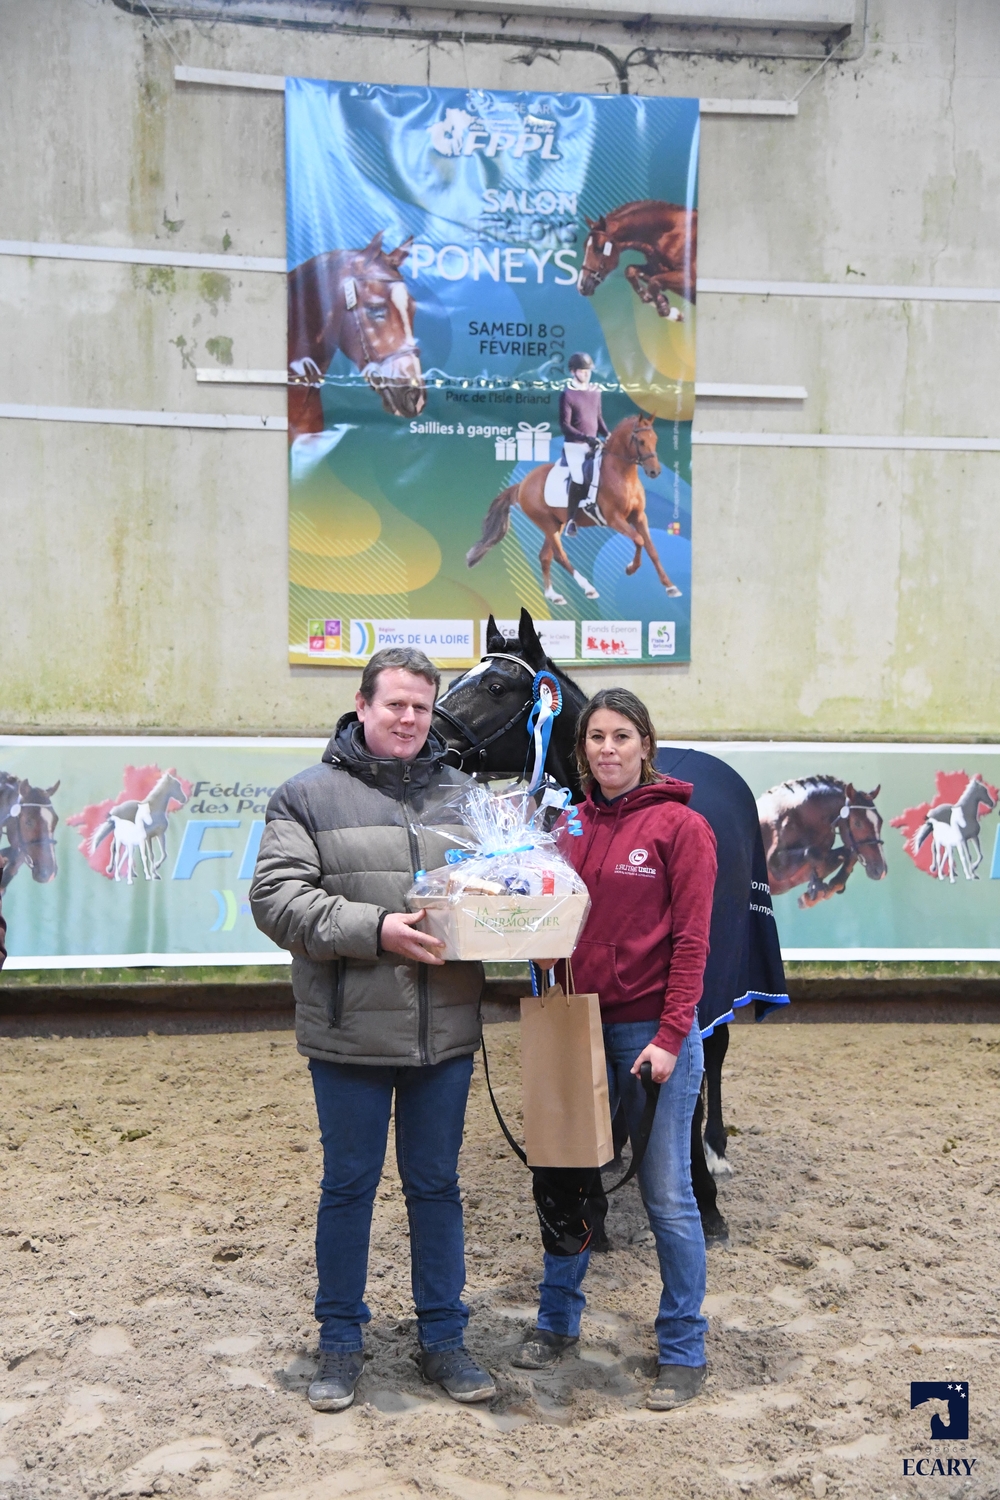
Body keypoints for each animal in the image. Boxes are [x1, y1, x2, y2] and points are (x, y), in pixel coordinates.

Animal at [437, 609, 791, 1242]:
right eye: (458, 677)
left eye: (497, 686)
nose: (431, 739)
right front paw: (593, 1197)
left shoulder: (692, 995)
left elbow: (683, 1088)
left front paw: (704, 1202)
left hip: (727, 974)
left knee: (715, 1054)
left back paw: (715, 1151)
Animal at [755, 780, 887, 906]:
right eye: (857, 823)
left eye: (880, 821)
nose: (881, 871)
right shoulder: (777, 868)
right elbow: (813, 852)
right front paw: (815, 888)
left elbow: (847, 853)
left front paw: (834, 884)